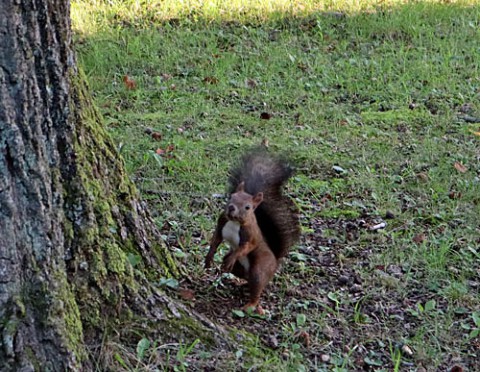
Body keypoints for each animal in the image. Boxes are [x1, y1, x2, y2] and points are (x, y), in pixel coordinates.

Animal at [205, 148, 300, 314]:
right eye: (232, 196)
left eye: (248, 207)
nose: (231, 207)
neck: (235, 222)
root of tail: (275, 263)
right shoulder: (221, 222)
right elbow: (216, 240)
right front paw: (209, 257)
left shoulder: (250, 235)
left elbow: (246, 246)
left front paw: (232, 256)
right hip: (239, 268)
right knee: (245, 277)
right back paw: (238, 281)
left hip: (260, 267)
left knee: (257, 284)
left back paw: (250, 304)